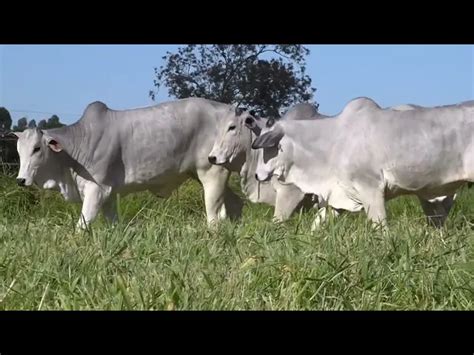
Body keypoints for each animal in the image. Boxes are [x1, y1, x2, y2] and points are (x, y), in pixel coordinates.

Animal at [13, 98, 248, 229]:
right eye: (19, 151)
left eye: (37, 148)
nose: (21, 179)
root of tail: (230, 111)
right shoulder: (108, 194)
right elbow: (114, 225)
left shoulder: (96, 190)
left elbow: (82, 225)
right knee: (234, 204)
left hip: (212, 171)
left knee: (214, 216)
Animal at [250, 97, 472, 229]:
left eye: (266, 146)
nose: (257, 175)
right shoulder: (338, 194)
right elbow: (317, 223)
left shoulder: (371, 188)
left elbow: (380, 226)